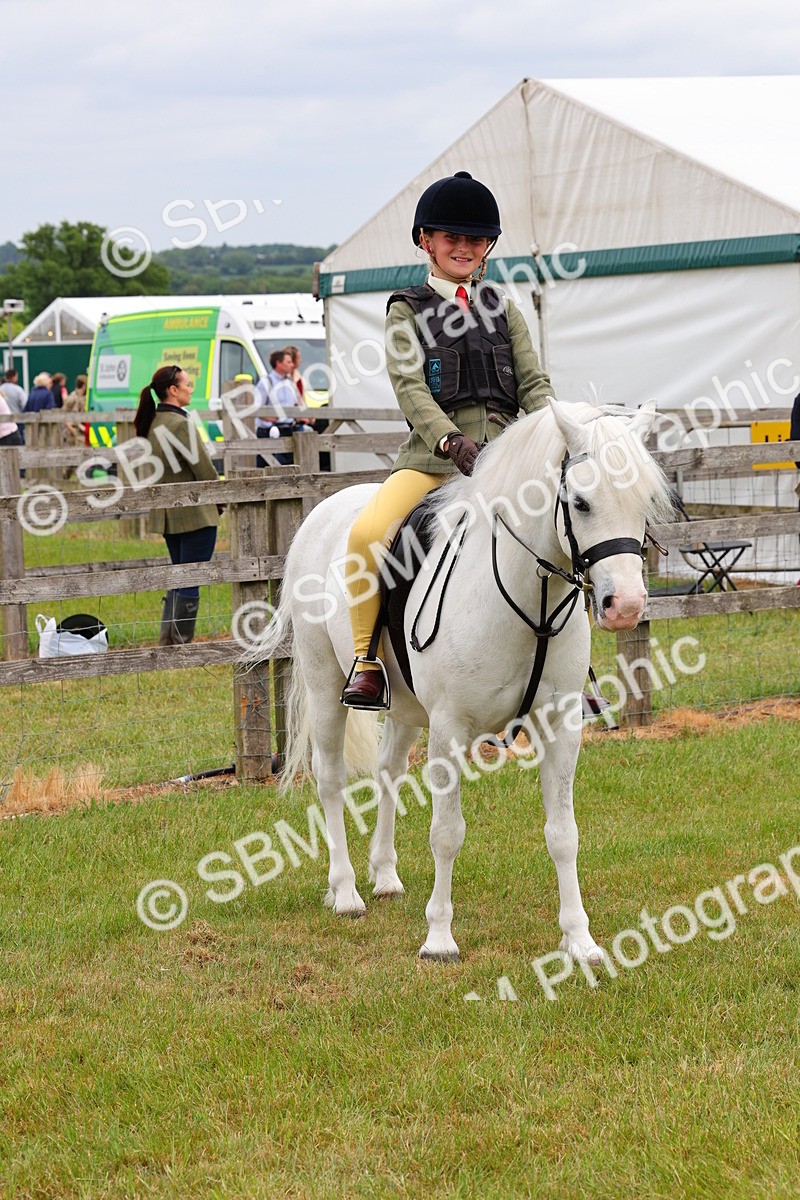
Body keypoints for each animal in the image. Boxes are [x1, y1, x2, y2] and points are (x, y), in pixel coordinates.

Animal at [243, 399, 673, 963]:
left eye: (643, 500)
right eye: (580, 502)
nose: (625, 606)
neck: (523, 596)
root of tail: (324, 510)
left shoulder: (561, 726)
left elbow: (563, 833)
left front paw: (580, 941)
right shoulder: (449, 729)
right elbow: (447, 832)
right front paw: (439, 938)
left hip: (404, 706)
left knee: (388, 770)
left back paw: (385, 876)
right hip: (323, 685)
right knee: (331, 778)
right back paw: (346, 892)